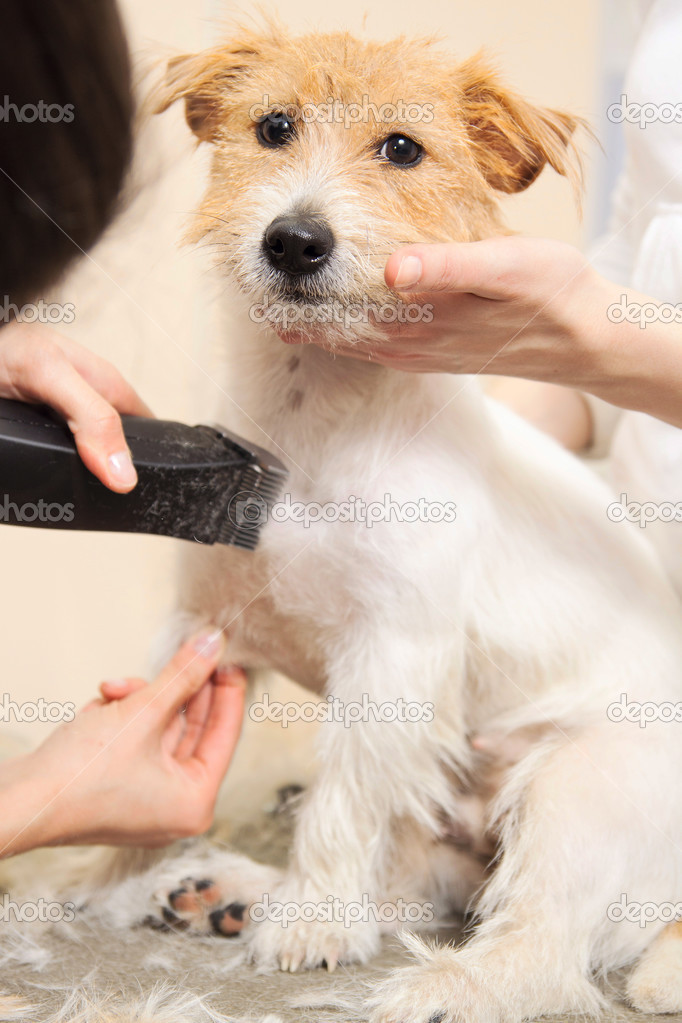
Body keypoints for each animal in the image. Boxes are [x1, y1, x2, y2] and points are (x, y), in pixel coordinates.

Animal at [107, 24, 682, 1023]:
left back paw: (441, 985)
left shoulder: (392, 658)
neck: (314, 415)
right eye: (273, 126)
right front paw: (117, 874)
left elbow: (342, 802)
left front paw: (310, 924)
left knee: (541, 946)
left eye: (403, 149)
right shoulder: (202, 625)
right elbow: (161, 738)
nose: (294, 240)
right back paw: (228, 887)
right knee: (416, 883)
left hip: (578, 783)